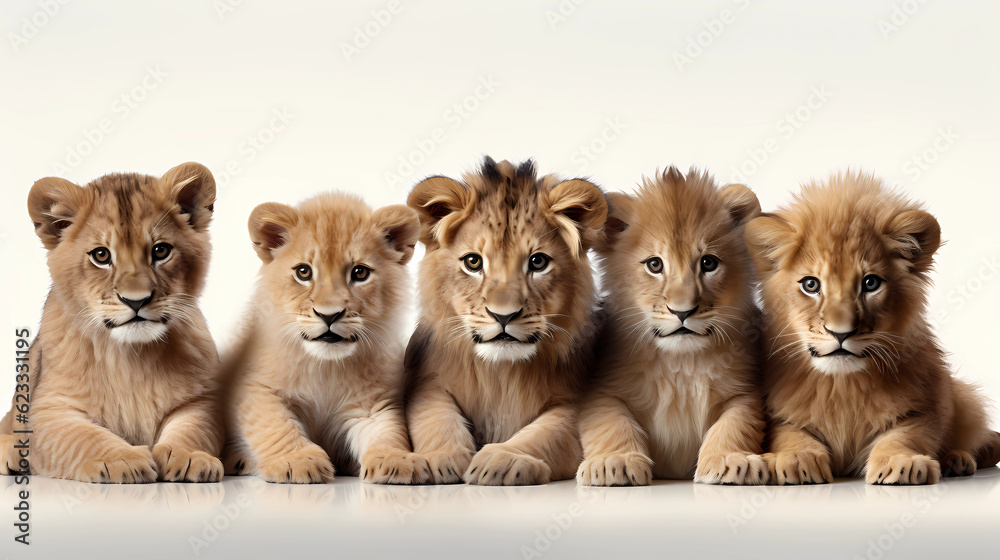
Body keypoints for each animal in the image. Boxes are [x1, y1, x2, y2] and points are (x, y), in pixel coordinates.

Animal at [0, 163, 224, 483]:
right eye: (101, 255)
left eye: (160, 251)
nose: (136, 301)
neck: (132, 355)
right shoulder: (49, 409)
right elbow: (83, 437)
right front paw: (122, 459)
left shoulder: (202, 400)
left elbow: (193, 429)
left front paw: (189, 457)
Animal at [223, 192, 428, 484]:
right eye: (304, 272)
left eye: (360, 273)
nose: (329, 315)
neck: (326, 367)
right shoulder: (253, 388)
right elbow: (275, 425)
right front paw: (297, 461)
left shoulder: (374, 404)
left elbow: (387, 431)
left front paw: (395, 460)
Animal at [404, 156, 607, 485]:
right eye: (473, 262)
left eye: (538, 262)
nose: (504, 316)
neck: (501, 374)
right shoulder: (426, 385)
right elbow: (434, 417)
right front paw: (439, 458)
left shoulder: (577, 400)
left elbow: (545, 433)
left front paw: (502, 459)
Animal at [577, 167, 768, 486]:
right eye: (655, 265)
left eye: (708, 263)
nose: (683, 311)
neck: (681, 365)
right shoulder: (600, 388)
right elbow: (610, 421)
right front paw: (614, 462)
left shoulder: (744, 391)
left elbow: (735, 424)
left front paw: (729, 460)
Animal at [746, 171, 1000, 485]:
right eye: (811, 285)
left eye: (870, 283)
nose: (840, 333)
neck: (842, 387)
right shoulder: (776, 411)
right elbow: (789, 433)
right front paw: (796, 460)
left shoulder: (926, 405)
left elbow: (904, 435)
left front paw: (901, 463)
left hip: (964, 397)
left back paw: (958, 460)